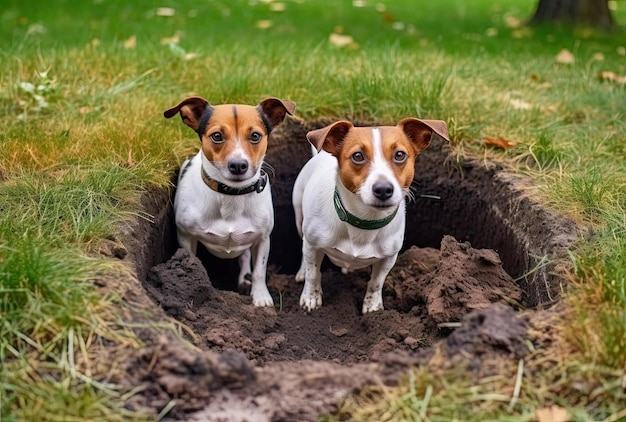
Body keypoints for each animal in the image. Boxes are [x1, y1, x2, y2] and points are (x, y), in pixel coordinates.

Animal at [163, 96, 294, 306]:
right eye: (217, 136)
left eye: (255, 136)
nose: (238, 165)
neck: (232, 194)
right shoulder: (185, 235)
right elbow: (193, 262)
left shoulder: (263, 238)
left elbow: (259, 271)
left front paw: (261, 297)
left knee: (245, 257)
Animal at [292, 118, 448, 314]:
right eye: (358, 156)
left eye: (399, 155)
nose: (383, 189)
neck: (364, 221)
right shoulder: (313, 245)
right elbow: (313, 274)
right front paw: (311, 298)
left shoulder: (389, 257)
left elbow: (376, 282)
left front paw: (373, 308)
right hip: (300, 217)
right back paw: (301, 272)